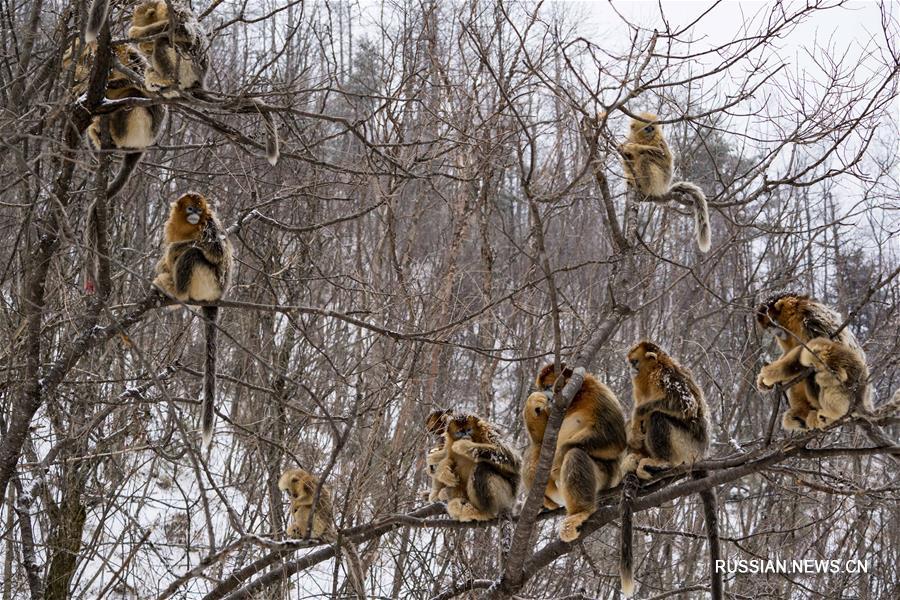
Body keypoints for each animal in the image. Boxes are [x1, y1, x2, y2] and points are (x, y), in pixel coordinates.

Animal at [280, 468, 368, 600]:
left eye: (288, 489)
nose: (291, 495)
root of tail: (328, 528)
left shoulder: (308, 485)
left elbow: (312, 498)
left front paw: (295, 504)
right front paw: (293, 505)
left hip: (318, 524)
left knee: (304, 509)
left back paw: (302, 531)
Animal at [520, 364, 624, 540]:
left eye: (549, 386)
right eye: (544, 388)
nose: (548, 395)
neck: (575, 401)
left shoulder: (600, 394)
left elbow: (616, 439)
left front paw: (559, 457)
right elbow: (543, 438)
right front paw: (533, 402)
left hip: (605, 478)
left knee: (575, 455)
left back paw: (579, 513)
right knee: (535, 449)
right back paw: (546, 503)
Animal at [620, 112, 712, 251]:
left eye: (652, 127)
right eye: (647, 127)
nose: (651, 131)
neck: (644, 140)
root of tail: (663, 189)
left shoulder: (659, 141)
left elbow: (662, 156)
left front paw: (633, 148)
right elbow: (627, 161)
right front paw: (625, 151)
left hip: (659, 180)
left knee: (645, 158)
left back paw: (642, 186)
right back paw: (632, 180)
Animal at [620, 342, 724, 600]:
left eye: (634, 362)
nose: (630, 369)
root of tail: (701, 454)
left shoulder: (667, 378)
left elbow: (684, 406)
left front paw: (640, 412)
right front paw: (633, 433)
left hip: (687, 447)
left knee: (658, 417)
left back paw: (661, 462)